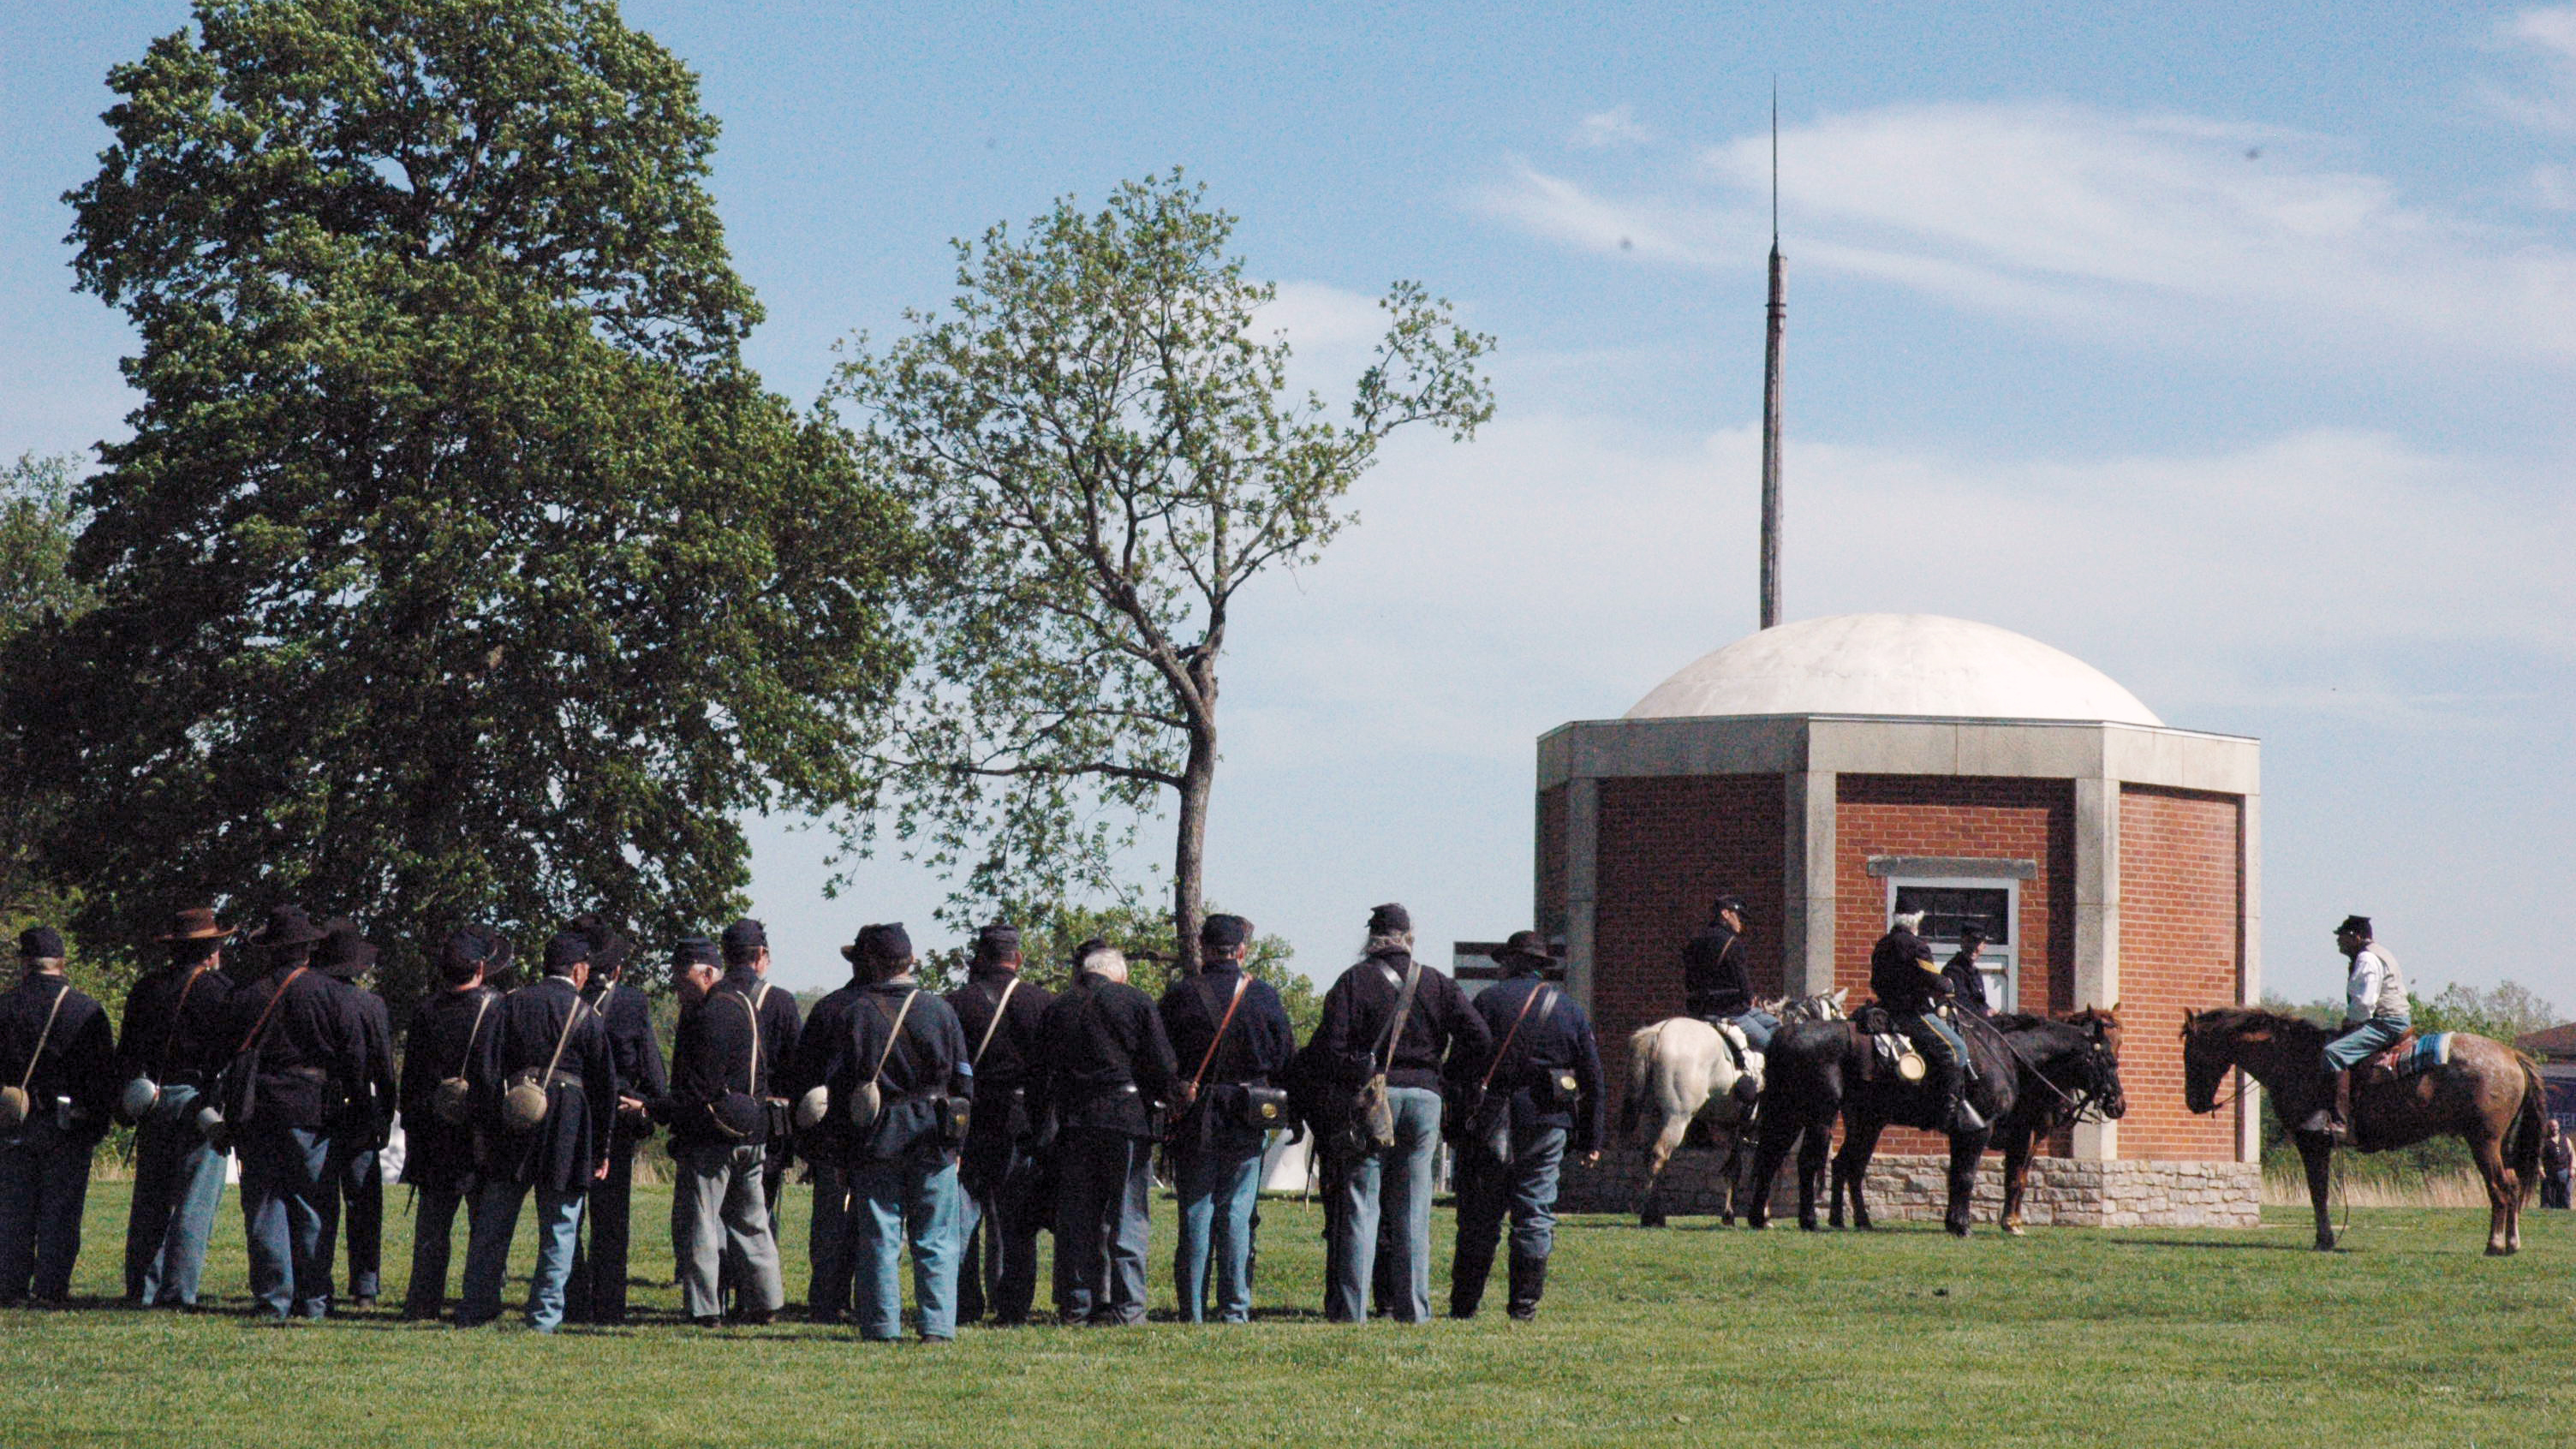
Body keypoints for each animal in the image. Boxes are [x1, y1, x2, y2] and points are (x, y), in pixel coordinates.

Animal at [1618, 980, 1844, 1217]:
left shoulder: (1735, 1127)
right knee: (1659, 1155)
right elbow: (1766, 1164)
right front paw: (1762, 1213)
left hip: (1652, 1114)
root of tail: (1659, 1031)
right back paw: (1651, 1214)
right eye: (1838, 1013)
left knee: (1648, 1156)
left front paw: (1730, 1214)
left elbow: (1735, 1167)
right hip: (1677, 1116)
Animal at [1751, 1005, 2132, 1227]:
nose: (2118, 1104)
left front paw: (1969, 1220)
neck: (2013, 1059)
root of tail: (1785, 1033)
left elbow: (1975, 1177)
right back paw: (1809, 1219)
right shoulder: (1987, 1132)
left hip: (1829, 1119)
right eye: (2109, 1060)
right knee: (1808, 1161)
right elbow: (1975, 1176)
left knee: (1809, 1161)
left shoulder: (1991, 1135)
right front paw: (1977, 1223)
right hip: (1819, 1116)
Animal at [2174, 1005, 2555, 1253]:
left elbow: (2318, 1193)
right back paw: (2512, 1242)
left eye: (2192, 1053)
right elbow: (2320, 1193)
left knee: (2501, 1188)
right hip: (2498, 1143)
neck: (2297, 1061)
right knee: (2514, 1183)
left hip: (2483, 1141)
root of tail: (2511, 1055)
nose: (2194, 1102)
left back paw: (2494, 1244)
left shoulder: (2311, 1142)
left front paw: (2324, 1240)